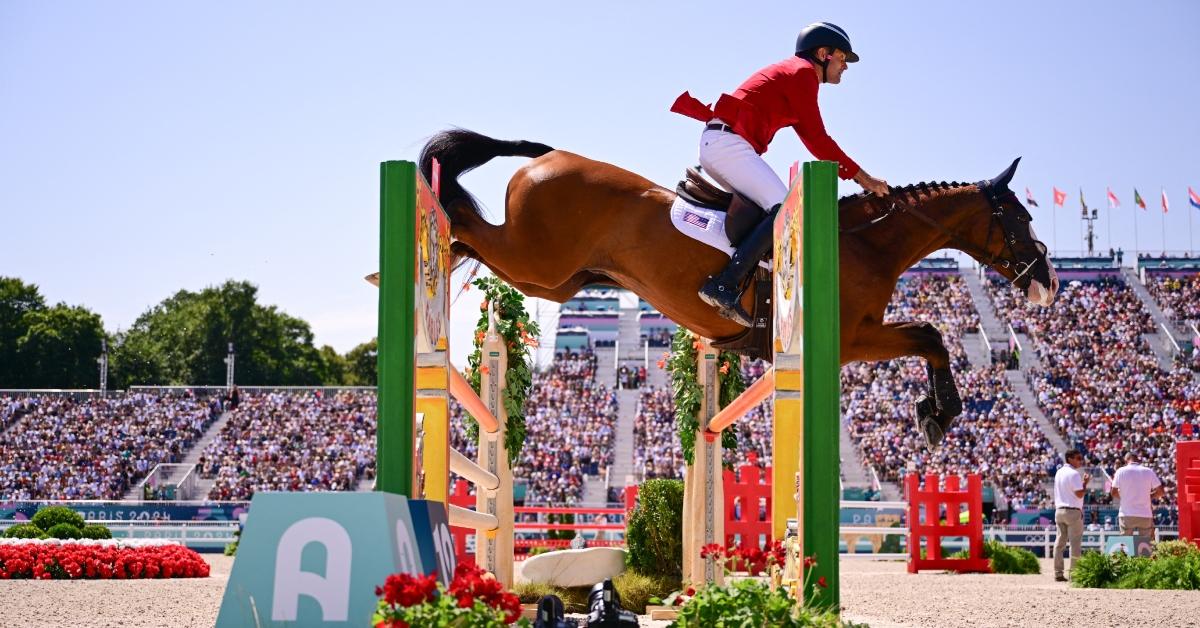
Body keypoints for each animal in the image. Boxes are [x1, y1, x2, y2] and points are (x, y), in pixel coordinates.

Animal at [417, 127, 1056, 446]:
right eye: (1021, 217)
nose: (1048, 283)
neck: (863, 243)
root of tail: (546, 156)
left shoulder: (857, 338)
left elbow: (928, 335)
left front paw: (933, 412)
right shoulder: (853, 339)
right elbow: (930, 333)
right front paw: (939, 414)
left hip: (554, 277)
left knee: (480, 242)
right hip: (540, 262)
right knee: (470, 226)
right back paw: (433, 232)